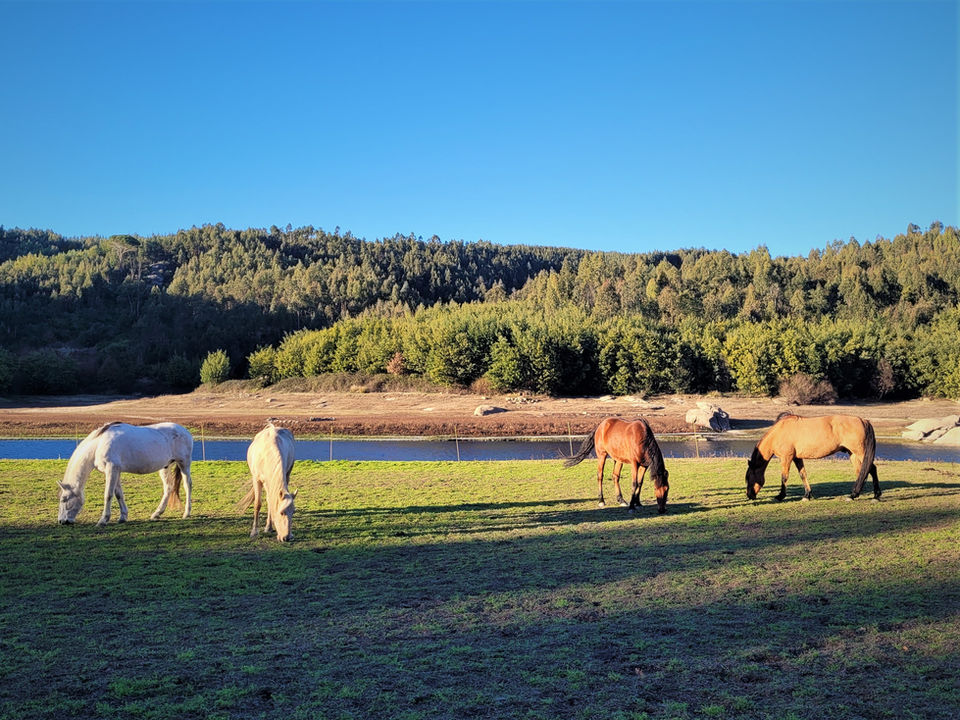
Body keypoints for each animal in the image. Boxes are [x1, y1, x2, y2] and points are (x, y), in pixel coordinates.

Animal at [58, 421, 194, 526]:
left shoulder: (111, 469)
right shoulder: (116, 471)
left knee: (187, 485)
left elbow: (108, 494)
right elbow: (118, 494)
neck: (99, 444)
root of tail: (185, 431)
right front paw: (123, 517)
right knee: (168, 488)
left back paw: (186, 513)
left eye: (64, 499)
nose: (61, 521)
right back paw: (157, 513)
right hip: (165, 466)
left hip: (184, 463)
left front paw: (103, 520)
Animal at [745, 413, 879, 501]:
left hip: (860, 452)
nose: (749, 495)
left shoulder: (786, 458)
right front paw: (807, 495)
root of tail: (863, 420)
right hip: (853, 454)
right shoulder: (796, 458)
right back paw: (854, 495)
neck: (779, 432)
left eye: (749, 477)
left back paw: (874, 495)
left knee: (871, 469)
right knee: (861, 472)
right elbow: (803, 474)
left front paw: (780, 496)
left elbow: (784, 477)